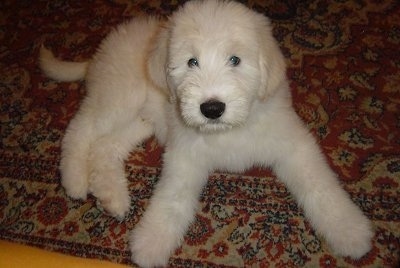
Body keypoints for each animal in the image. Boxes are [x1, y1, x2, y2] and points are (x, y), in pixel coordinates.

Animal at [39, 0, 374, 266]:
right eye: (192, 61)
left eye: (235, 59)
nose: (212, 108)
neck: (228, 131)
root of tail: (100, 52)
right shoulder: (184, 157)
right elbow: (171, 200)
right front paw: (151, 242)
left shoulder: (293, 145)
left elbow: (321, 187)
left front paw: (350, 231)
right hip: (118, 97)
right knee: (80, 129)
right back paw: (74, 180)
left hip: (141, 119)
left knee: (105, 146)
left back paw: (112, 198)